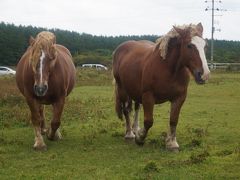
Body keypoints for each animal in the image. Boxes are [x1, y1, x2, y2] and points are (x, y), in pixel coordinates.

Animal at [113, 23, 209, 151]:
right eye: (189, 45)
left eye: (205, 46)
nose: (204, 74)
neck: (168, 69)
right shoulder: (148, 96)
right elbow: (149, 121)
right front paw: (140, 138)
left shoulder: (179, 97)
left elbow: (173, 120)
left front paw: (172, 143)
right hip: (122, 90)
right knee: (126, 110)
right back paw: (129, 134)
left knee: (136, 108)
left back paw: (135, 129)